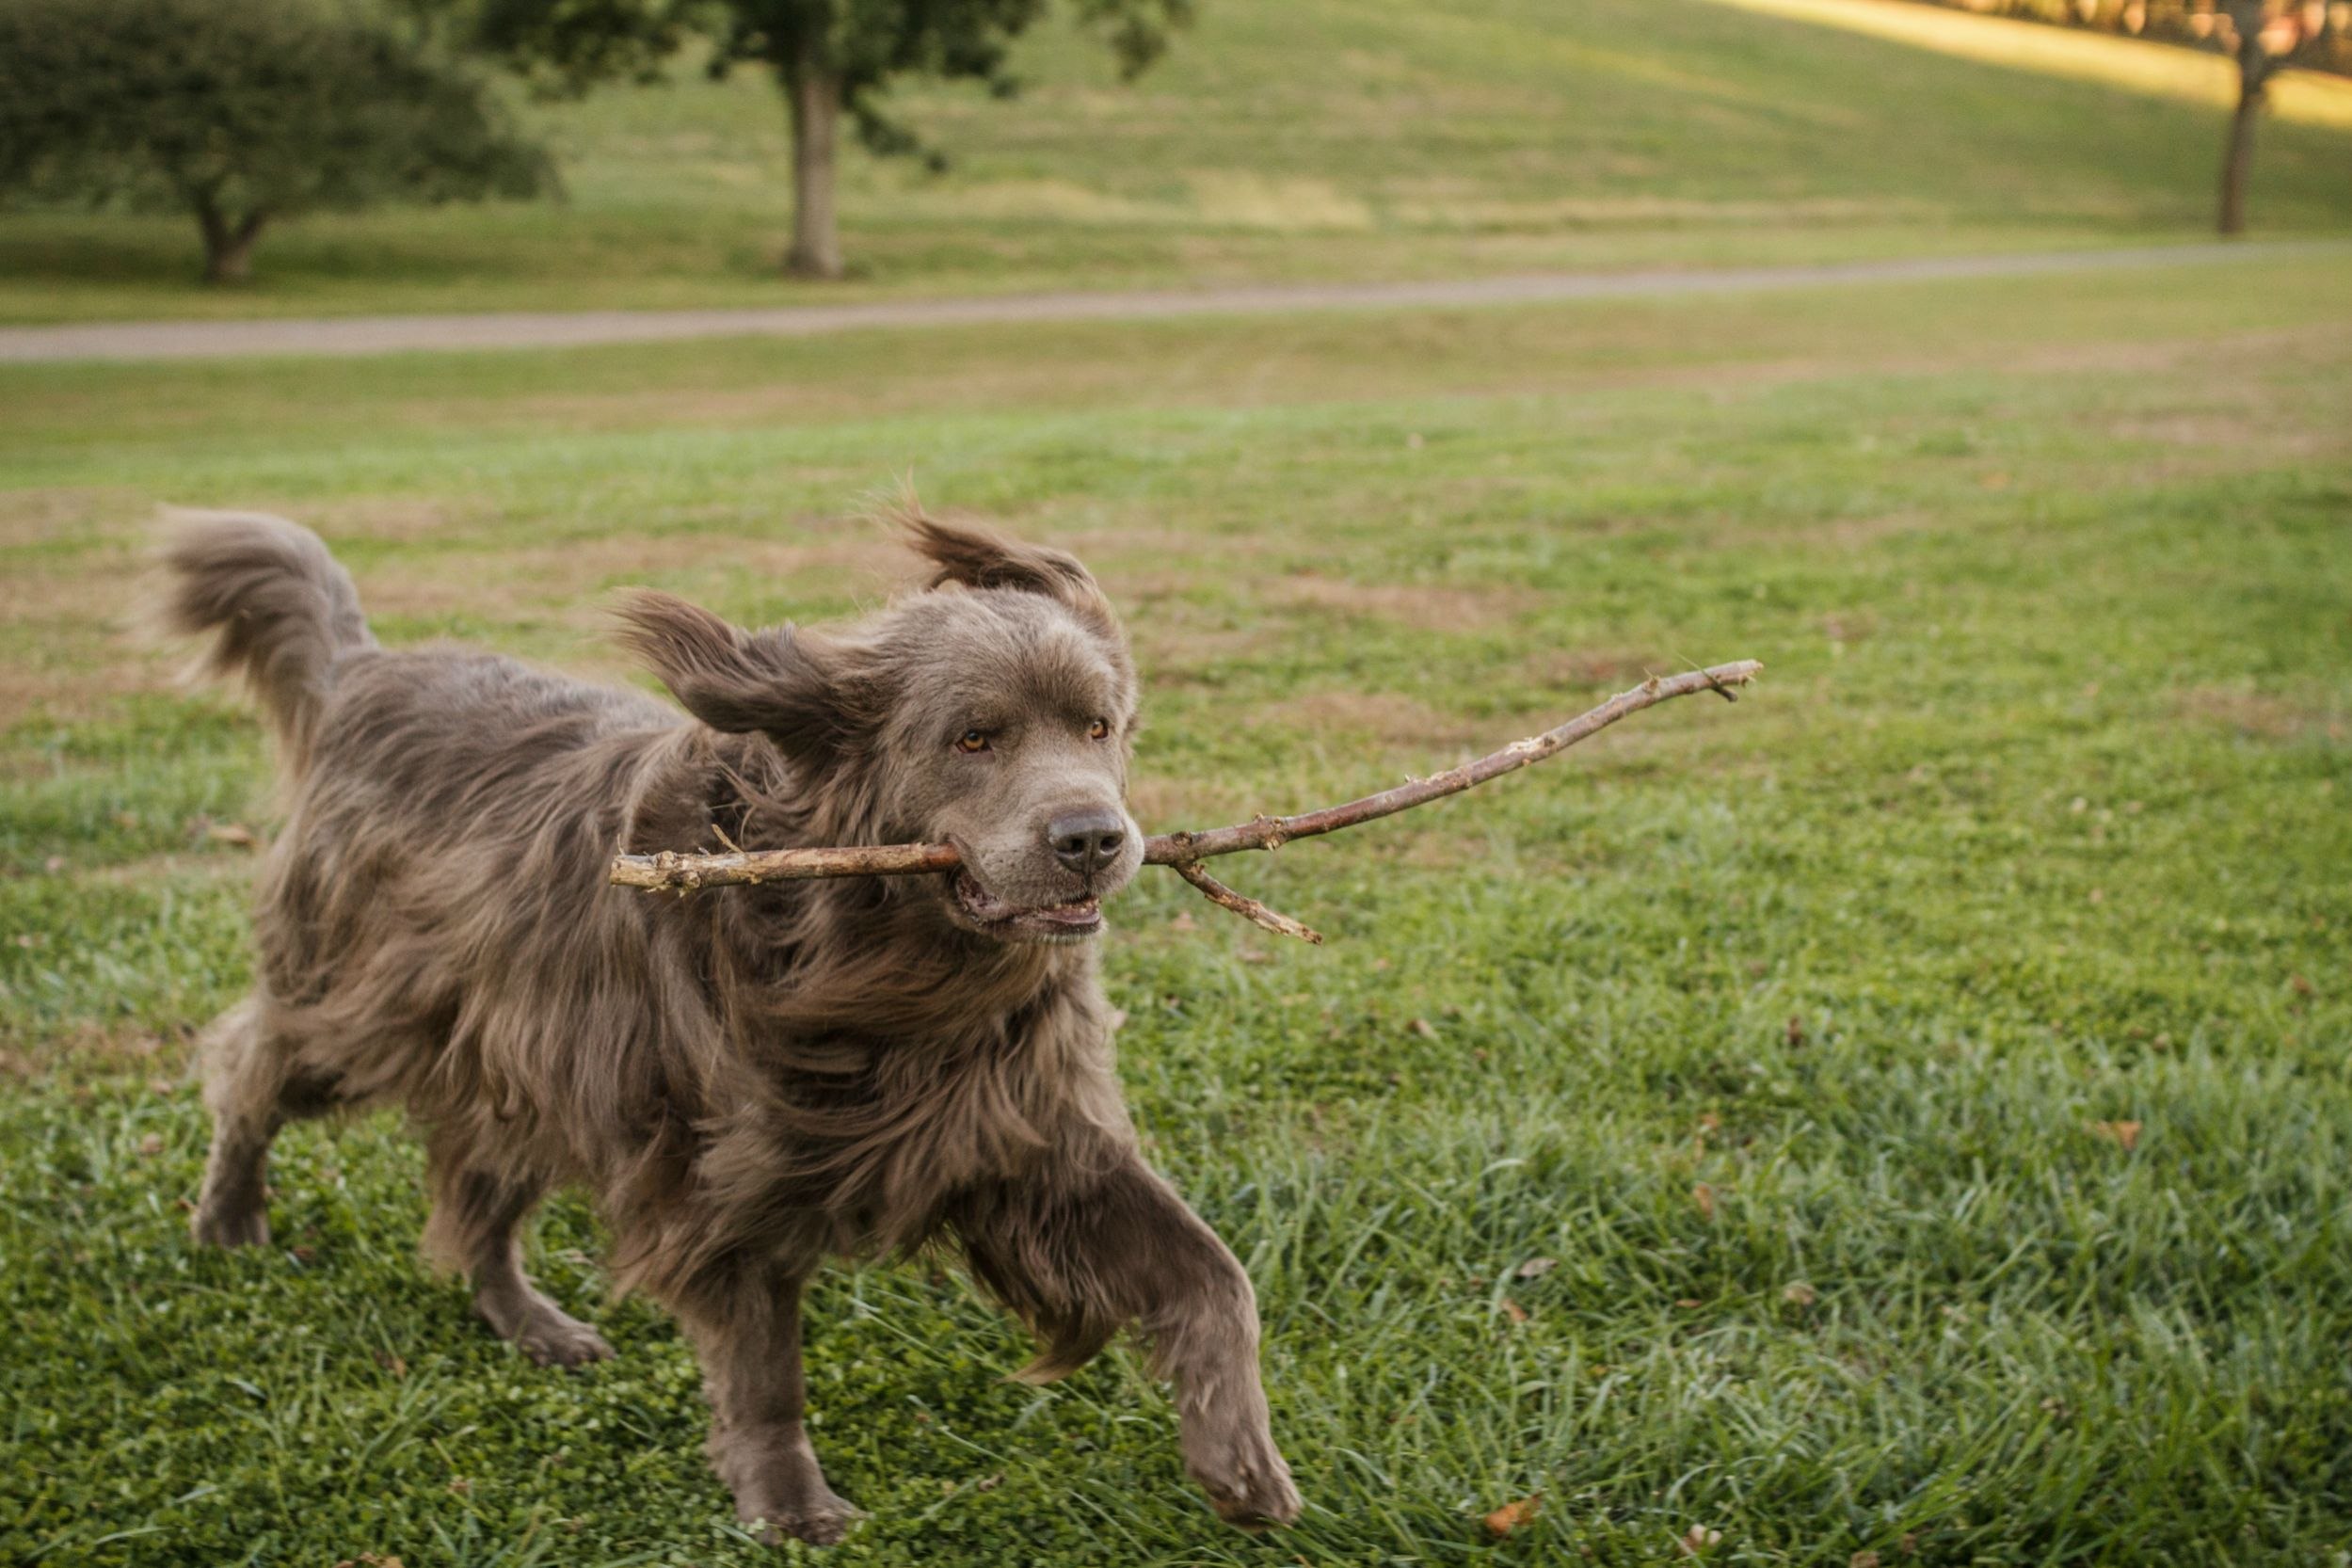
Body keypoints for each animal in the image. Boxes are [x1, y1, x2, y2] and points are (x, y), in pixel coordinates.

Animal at [161, 510, 1307, 1542]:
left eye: (1098, 726)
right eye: (973, 737)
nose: (1093, 839)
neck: (887, 968)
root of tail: (363, 674)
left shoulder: (1028, 1133)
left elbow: (1214, 1272)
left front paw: (1241, 1456)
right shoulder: (725, 1175)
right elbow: (764, 1369)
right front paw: (788, 1503)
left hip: (525, 1061)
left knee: (477, 1196)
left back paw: (533, 1325)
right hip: (366, 1004)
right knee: (256, 1066)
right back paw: (229, 1217)